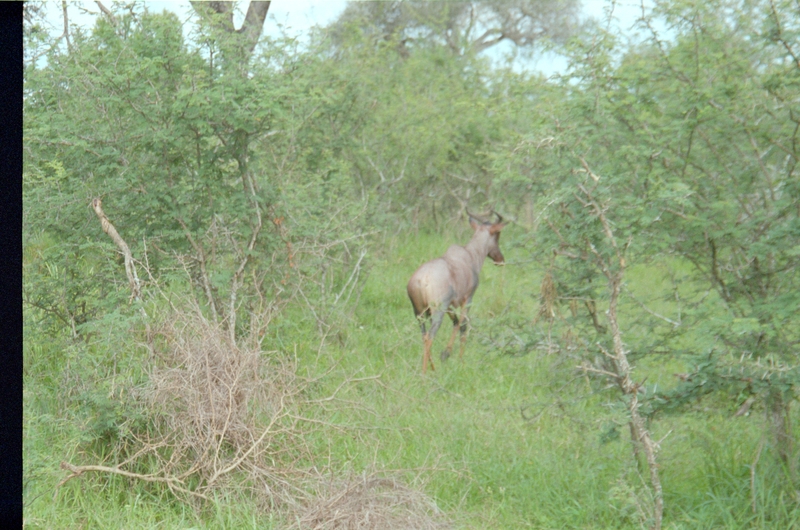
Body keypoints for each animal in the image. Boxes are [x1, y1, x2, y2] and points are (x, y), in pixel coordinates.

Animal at [406, 210, 506, 372]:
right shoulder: (468, 299)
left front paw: (447, 355)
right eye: (497, 235)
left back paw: (433, 369)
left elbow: (455, 322)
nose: (500, 259)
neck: (468, 254)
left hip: (419, 313)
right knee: (429, 336)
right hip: (437, 312)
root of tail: (420, 280)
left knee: (423, 336)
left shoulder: (450, 305)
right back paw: (424, 373)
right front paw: (457, 359)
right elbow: (463, 325)